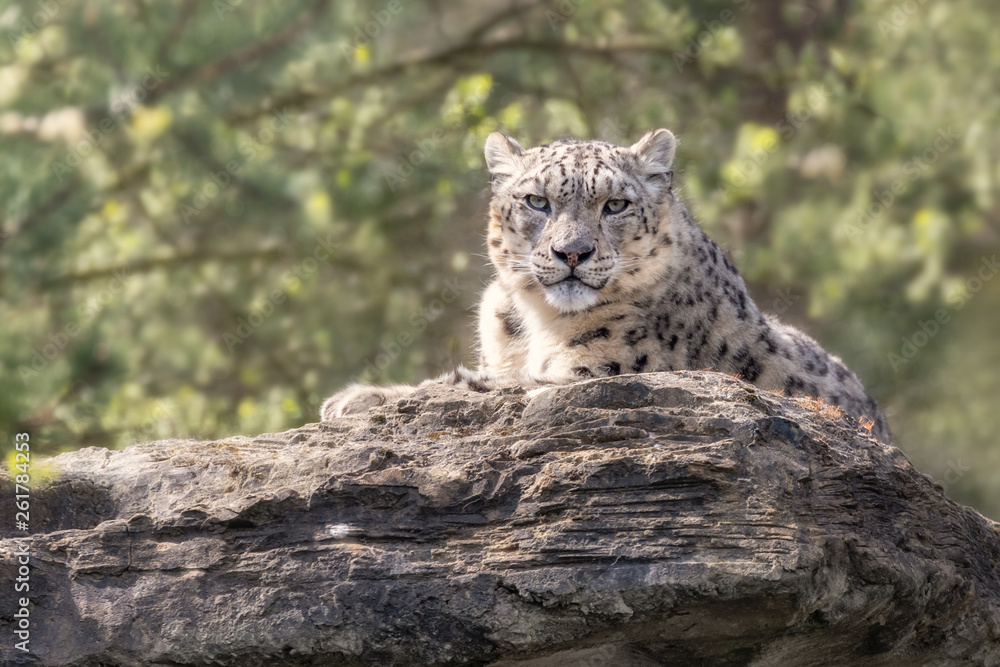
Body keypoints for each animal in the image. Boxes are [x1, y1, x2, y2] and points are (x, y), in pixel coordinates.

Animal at [320, 129, 891, 443]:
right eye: (537, 201)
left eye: (615, 204)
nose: (572, 253)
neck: (535, 322)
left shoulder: (587, 372)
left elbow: (472, 389)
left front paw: (354, 400)